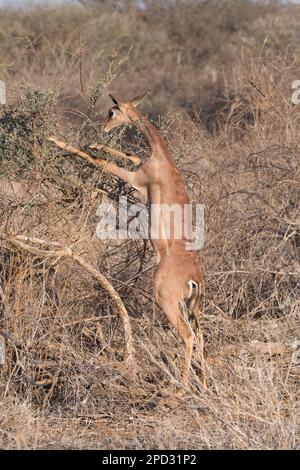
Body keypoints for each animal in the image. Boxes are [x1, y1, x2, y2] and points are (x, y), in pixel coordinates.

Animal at [50, 92, 207, 390]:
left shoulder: (136, 179)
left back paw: (183, 386)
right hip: (192, 307)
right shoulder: (137, 166)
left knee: (188, 336)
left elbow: (103, 162)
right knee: (201, 336)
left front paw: (56, 140)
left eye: (113, 112)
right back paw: (203, 385)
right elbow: (128, 154)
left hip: (168, 302)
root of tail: (194, 277)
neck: (161, 158)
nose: (102, 126)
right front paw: (95, 143)